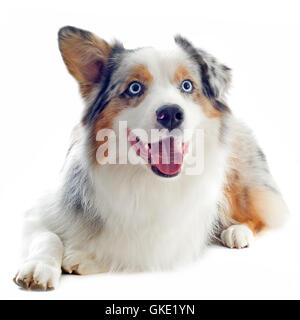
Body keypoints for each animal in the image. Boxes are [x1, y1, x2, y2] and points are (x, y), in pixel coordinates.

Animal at [14, 25, 288, 290]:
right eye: (135, 87)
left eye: (187, 85)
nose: (171, 114)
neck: (142, 178)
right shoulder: (40, 210)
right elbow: (47, 236)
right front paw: (39, 267)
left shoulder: (169, 238)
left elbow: (128, 247)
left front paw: (84, 256)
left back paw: (237, 231)